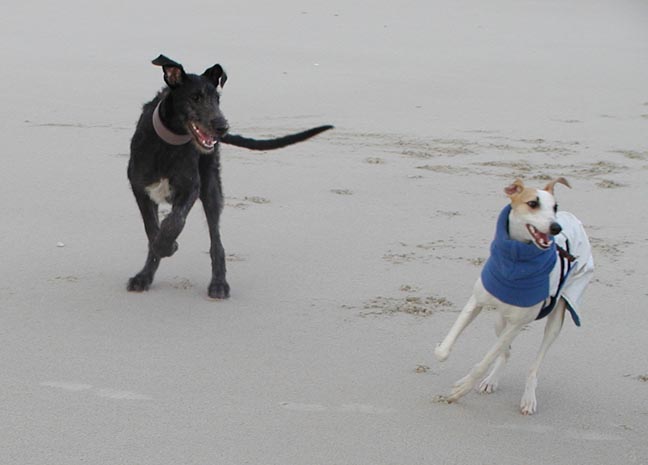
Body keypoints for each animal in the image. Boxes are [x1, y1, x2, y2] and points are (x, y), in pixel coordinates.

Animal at [126, 55, 332, 298]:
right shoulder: (139, 187)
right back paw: (145, 277)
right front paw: (158, 254)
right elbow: (152, 229)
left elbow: (174, 222)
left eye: (218, 99)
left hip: (212, 187)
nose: (222, 127)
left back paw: (219, 283)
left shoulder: (191, 187)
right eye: (195, 97)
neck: (167, 144)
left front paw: (167, 244)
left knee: (216, 242)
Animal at [436, 178, 592, 414]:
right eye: (532, 203)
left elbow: (483, 363)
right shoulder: (477, 301)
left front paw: (460, 391)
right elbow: (449, 345)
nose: (556, 227)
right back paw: (491, 380)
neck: (516, 261)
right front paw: (444, 356)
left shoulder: (518, 323)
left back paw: (528, 398)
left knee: (533, 365)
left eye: (555, 207)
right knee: (506, 351)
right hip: (501, 320)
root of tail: (572, 219)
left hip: (556, 317)